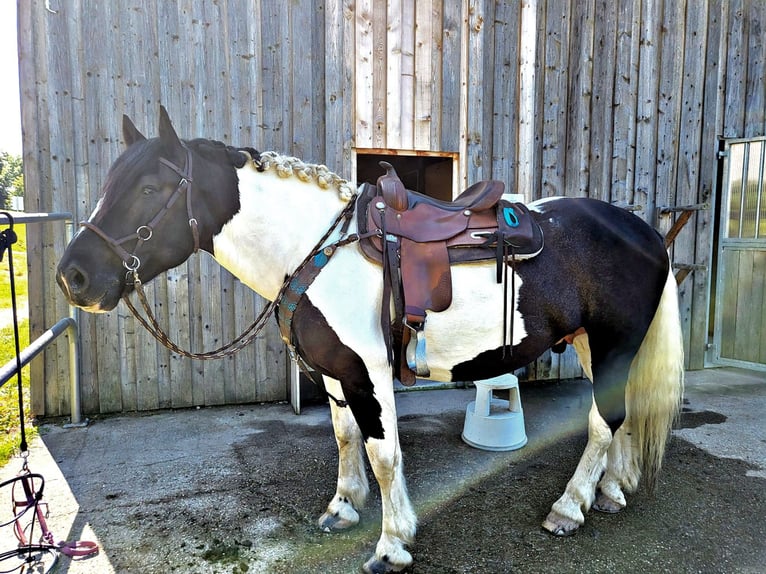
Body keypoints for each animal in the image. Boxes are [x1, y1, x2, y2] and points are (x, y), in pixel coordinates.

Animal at [56, 107, 684, 573]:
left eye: (150, 188)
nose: (74, 277)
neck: (315, 251)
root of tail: (644, 230)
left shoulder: (369, 374)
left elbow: (383, 454)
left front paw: (393, 542)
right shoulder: (336, 373)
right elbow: (343, 438)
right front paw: (344, 506)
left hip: (612, 343)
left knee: (603, 421)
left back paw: (571, 506)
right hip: (593, 346)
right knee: (621, 416)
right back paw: (613, 490)